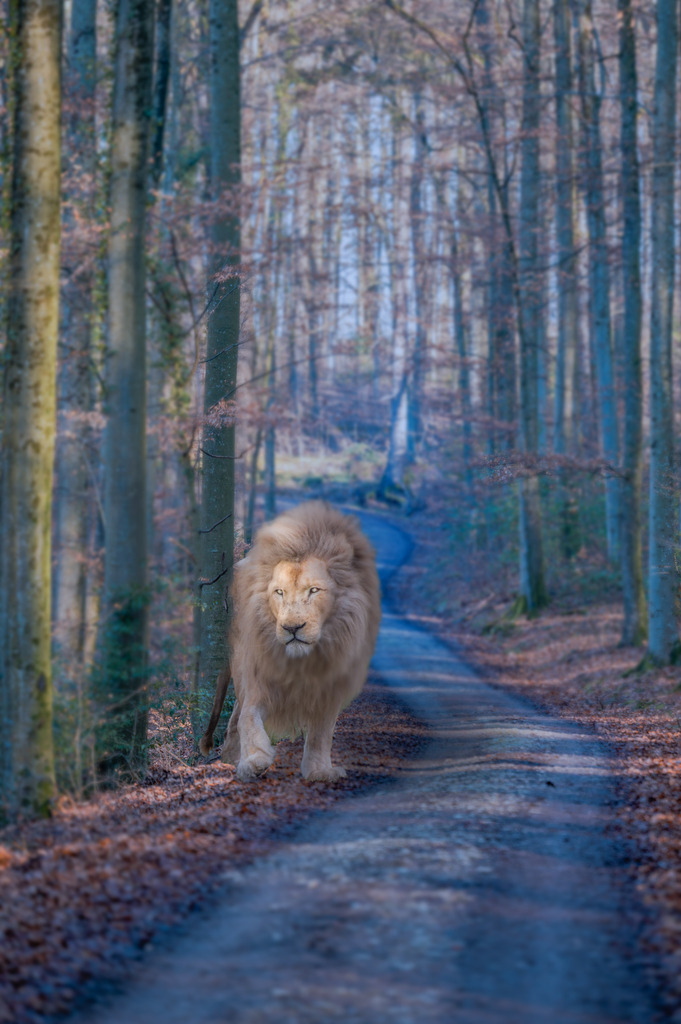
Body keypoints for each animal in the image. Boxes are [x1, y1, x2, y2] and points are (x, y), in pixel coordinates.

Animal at [199, 501, 381, 782]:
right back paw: (233, 760)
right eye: (279, 592)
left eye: (314, 590)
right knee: (238, 714)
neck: (302, 662)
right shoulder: (258, 680)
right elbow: (249, 719)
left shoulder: (328, 690)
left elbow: (321, 733)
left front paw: (319, 771)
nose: (292, 628)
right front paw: (255, 761)